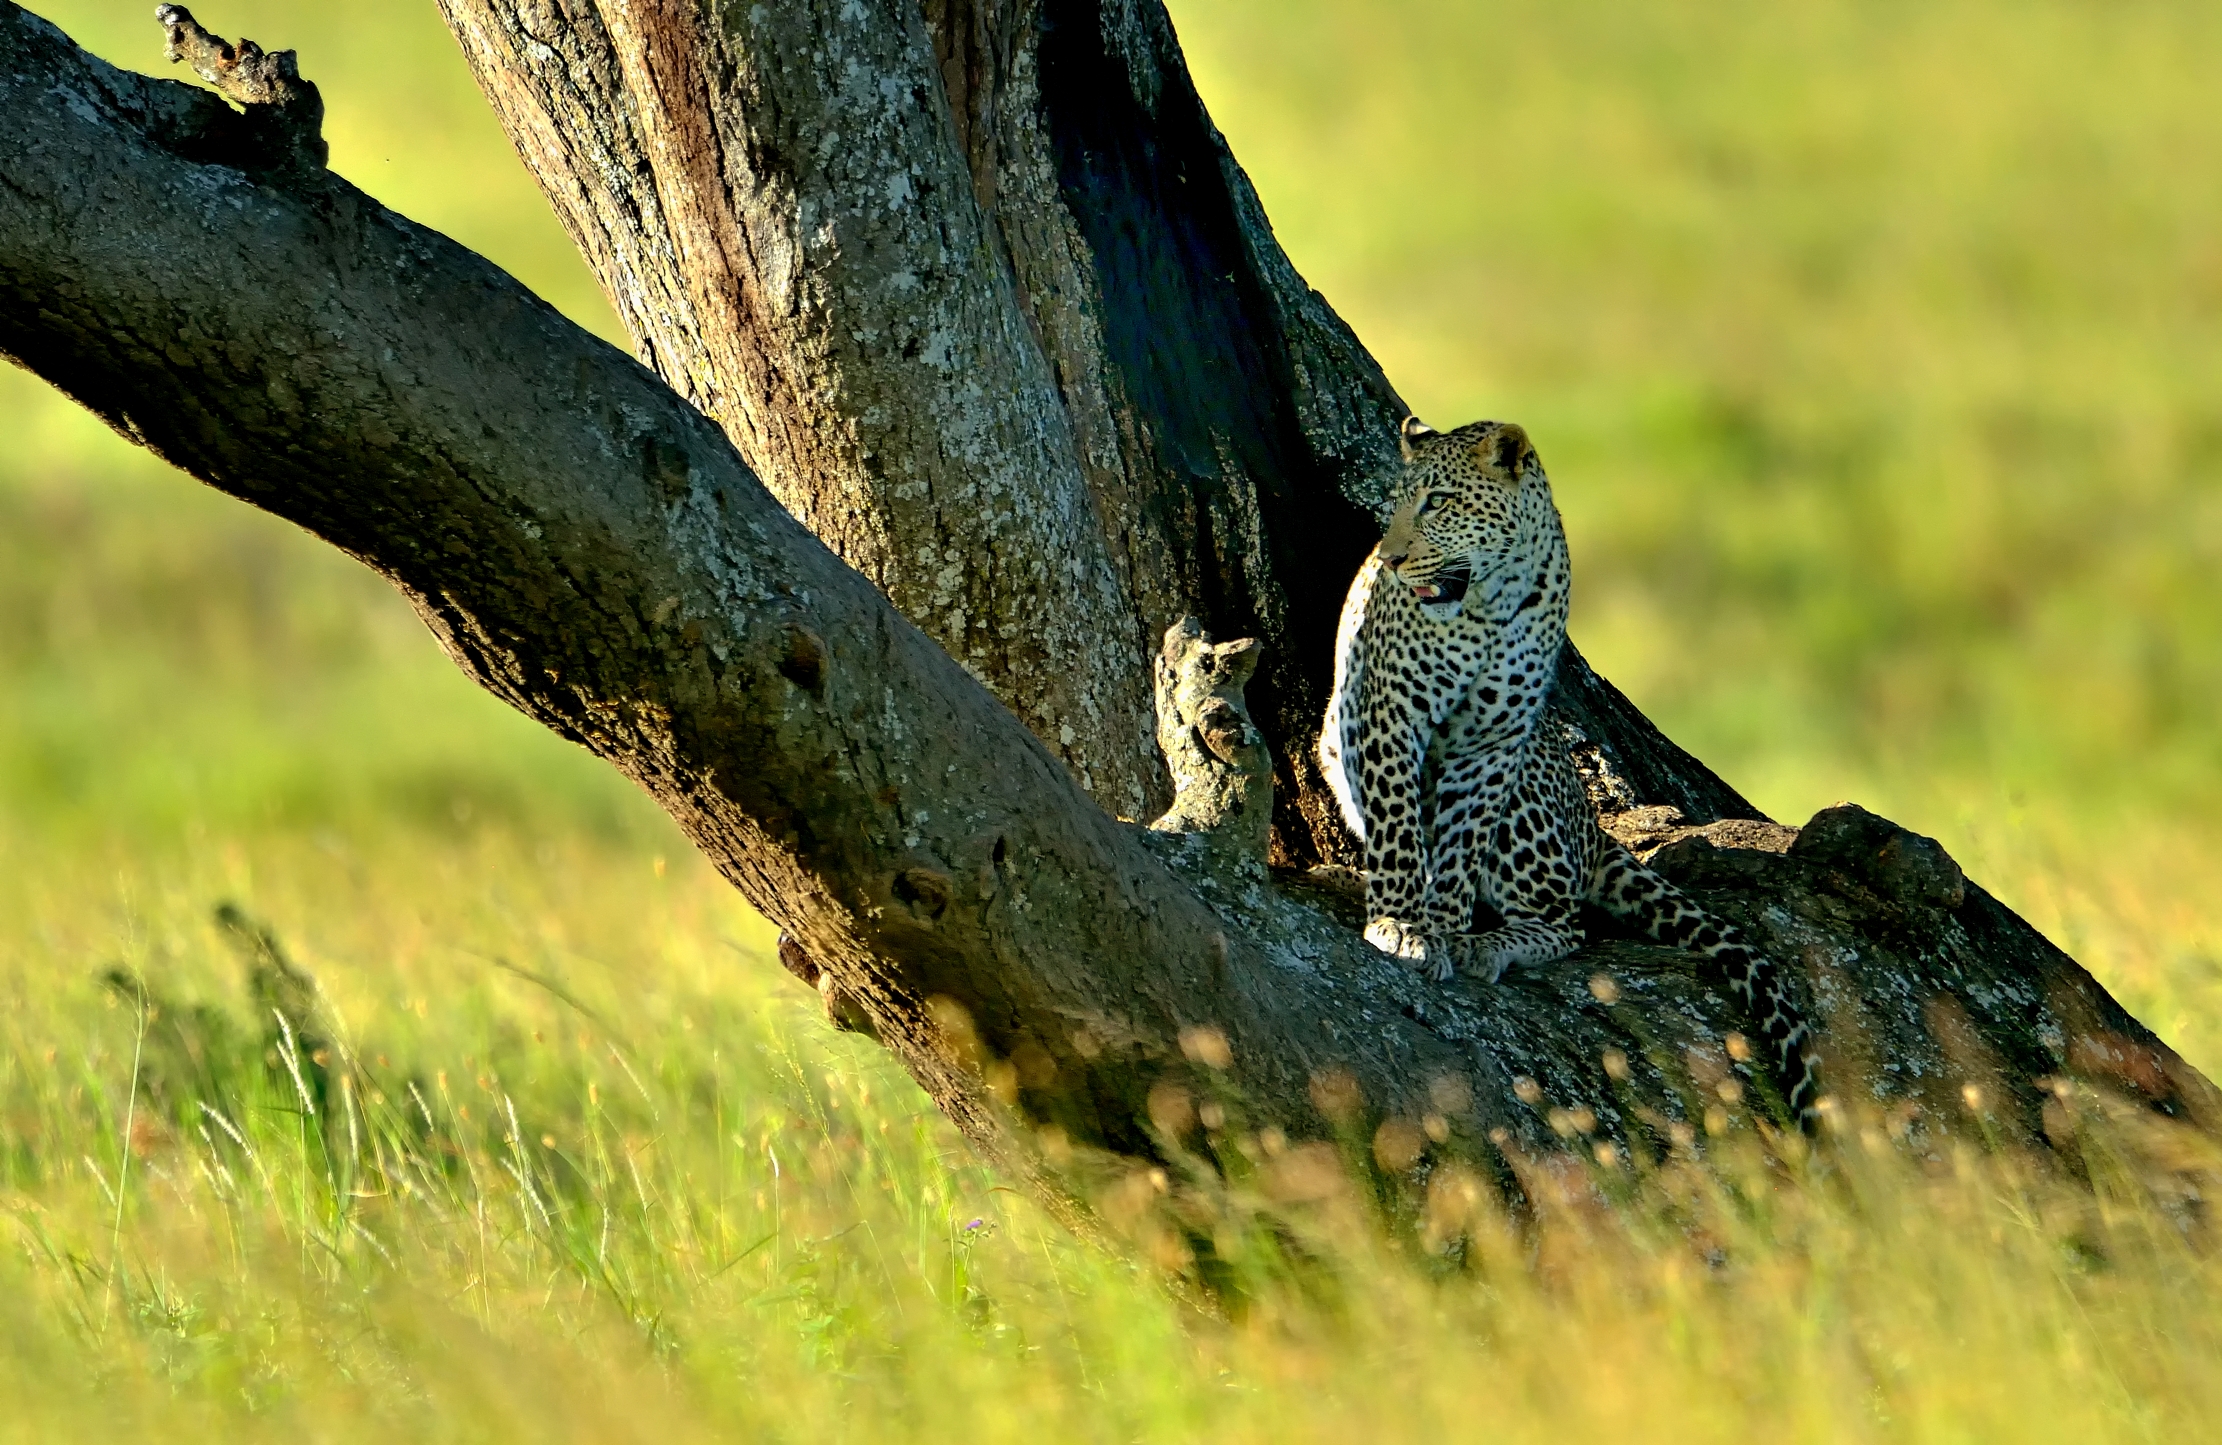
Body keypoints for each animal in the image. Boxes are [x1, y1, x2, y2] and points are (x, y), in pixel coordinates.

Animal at [1319, 416, 1820, 1122]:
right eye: (1394, 503)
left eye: (1439, 501)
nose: (1389, 558)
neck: (1490, 601)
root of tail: (1594, 828)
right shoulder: (1392, 711)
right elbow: (1399, 829)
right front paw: (1399, 925)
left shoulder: (1496, 741)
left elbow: (1459, 849)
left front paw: (1442, 931)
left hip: (1530, 795)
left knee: (1568, 921)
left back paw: (1489, 944)